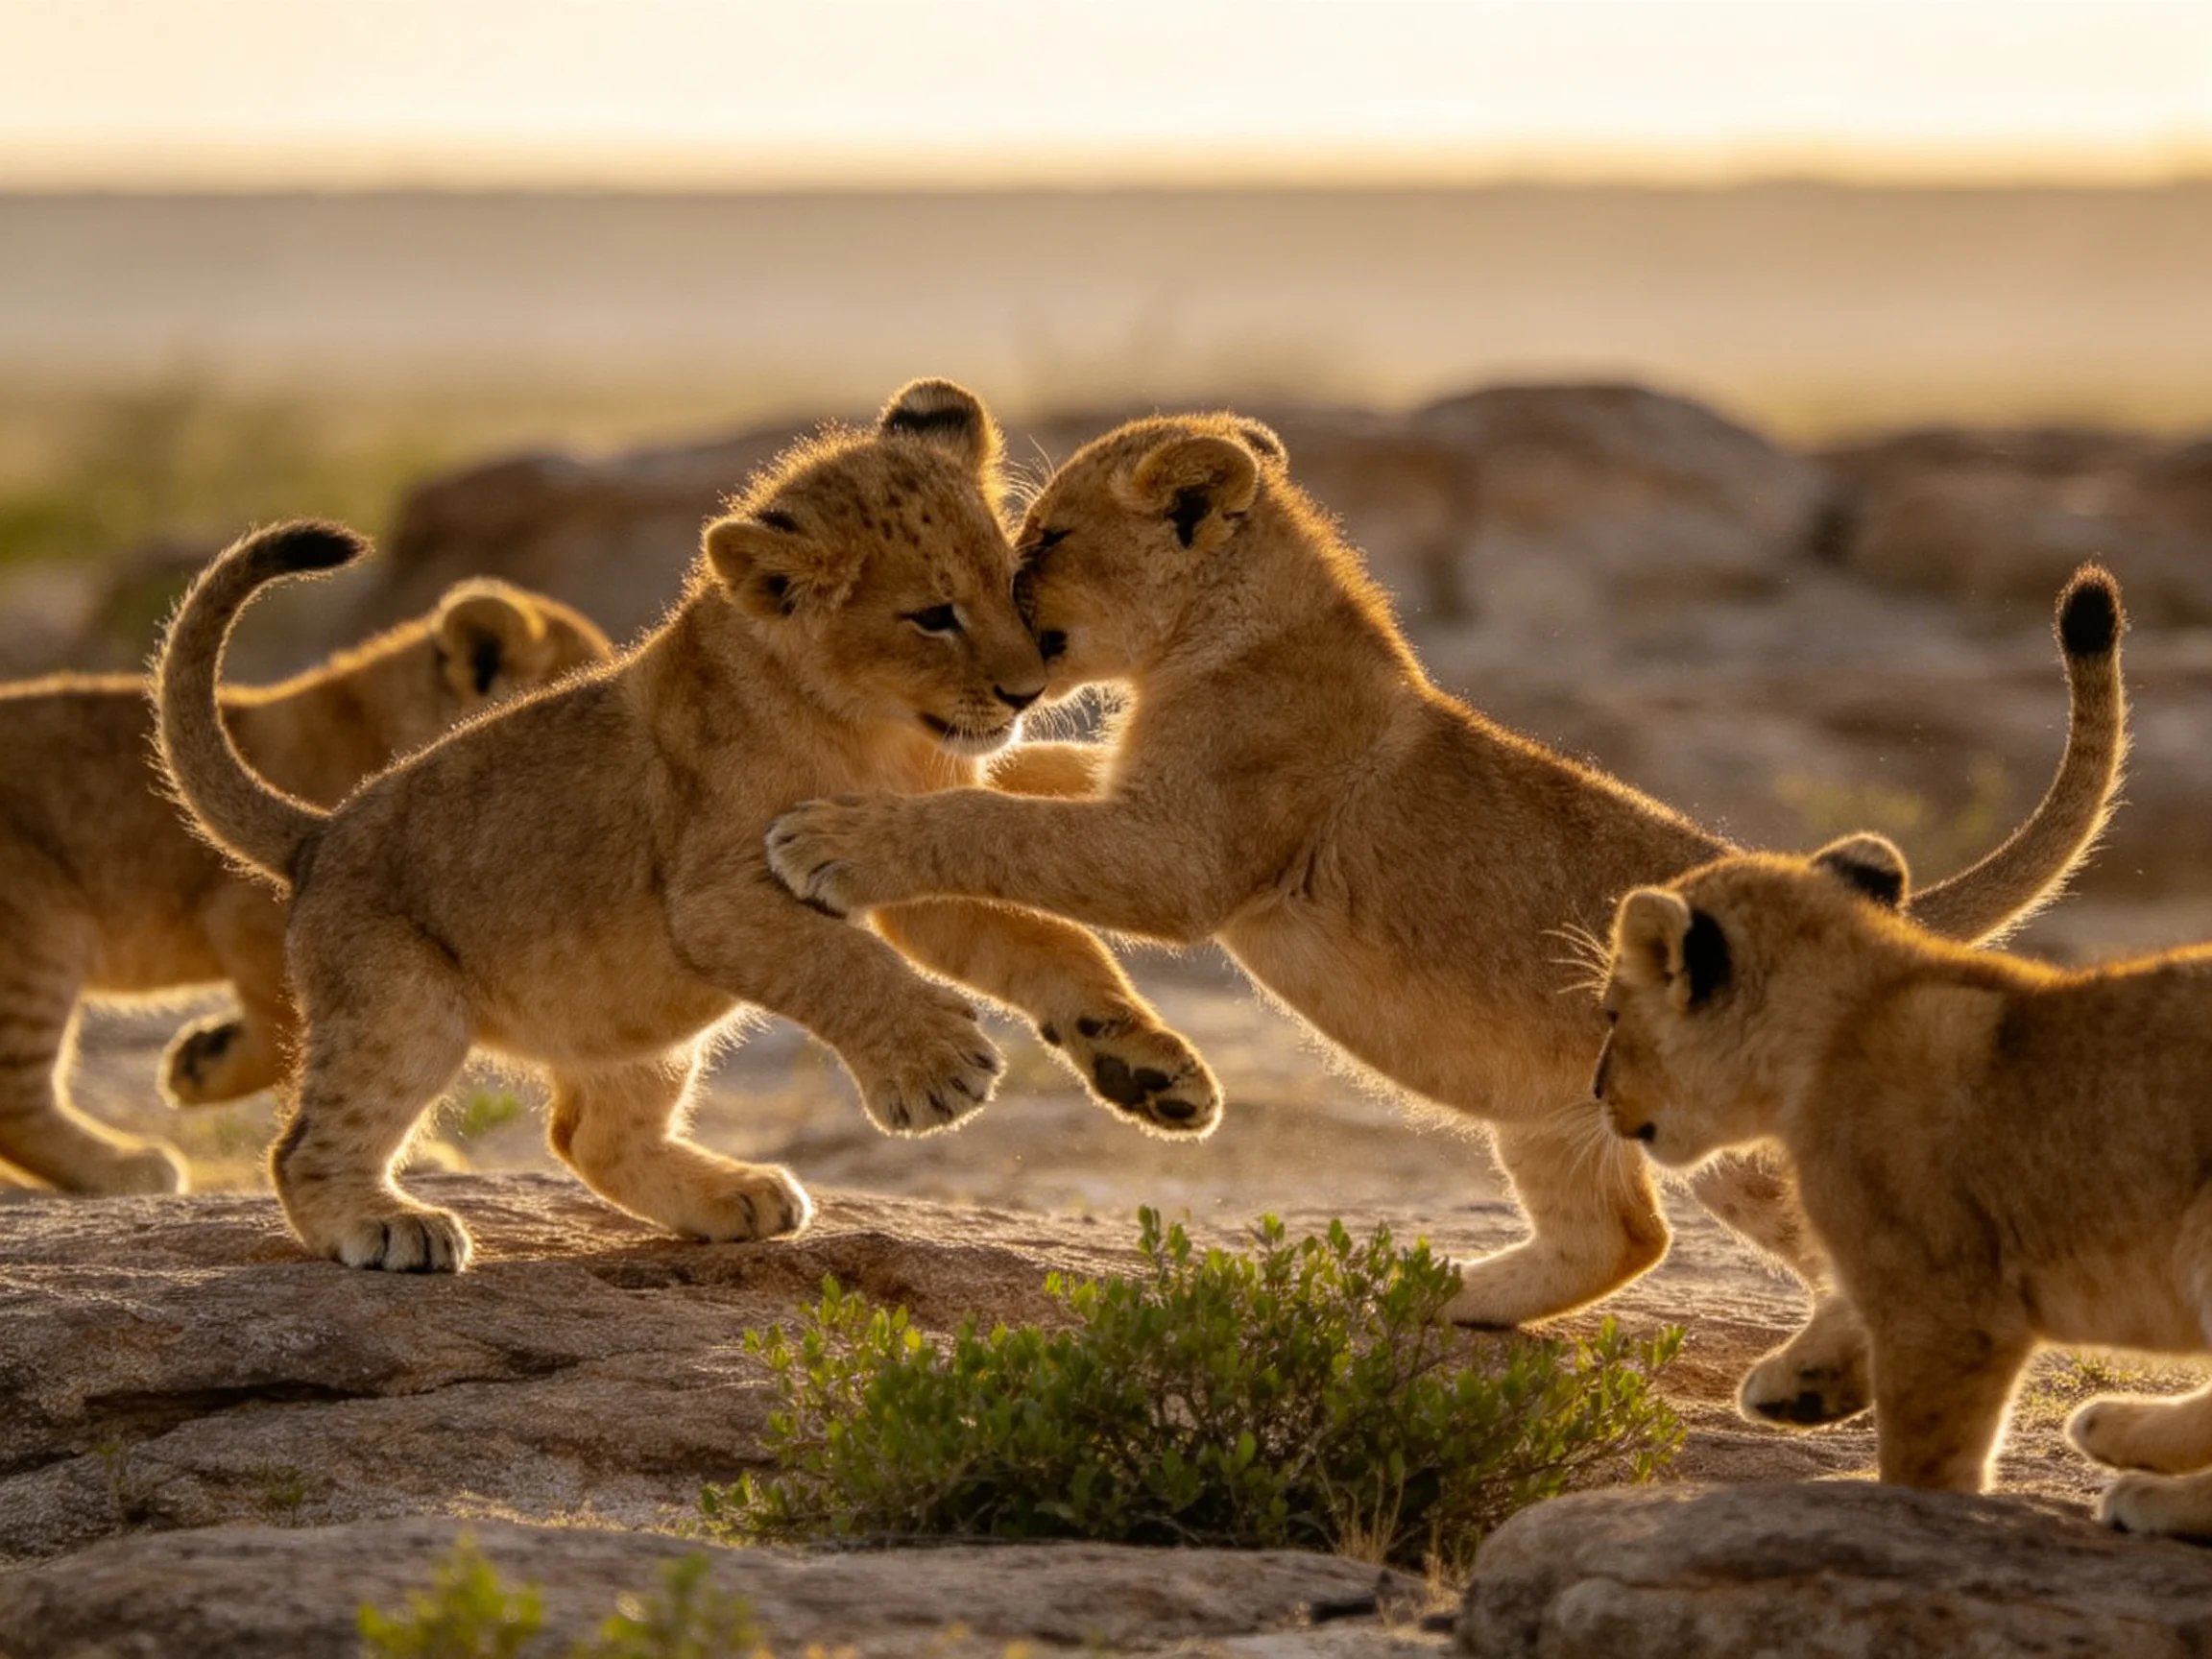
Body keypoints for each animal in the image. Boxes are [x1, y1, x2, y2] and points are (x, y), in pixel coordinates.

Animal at [0, 577, 611, 1196]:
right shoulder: (258, 918)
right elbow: (300, 1045)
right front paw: (202, 1069)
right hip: (39, 937)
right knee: (17, 1099)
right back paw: (124, 1166)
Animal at [154, 381, 1221, 1272]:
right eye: (931, 616)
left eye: (1011, 583)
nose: (1027, 690)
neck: (875, 731)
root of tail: (319, 834)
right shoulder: (714, 897)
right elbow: (842, 961)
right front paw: (939, 1070)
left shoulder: (898, 858)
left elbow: (1048, 945)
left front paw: (1150, 1070)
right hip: (402, 1002)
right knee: (307, 1144)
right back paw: (386, 1225)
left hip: (633, 1026)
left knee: (589, 1135)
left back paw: (732, 1198)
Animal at [762, 412, 2125, 1425]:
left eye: (1043, 537)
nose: (998, 607)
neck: (1226, 629)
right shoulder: (1141, 800)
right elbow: (1030, 784)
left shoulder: (1182, 856)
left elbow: (998, 827)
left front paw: (833, 840)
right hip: (1557, 1101)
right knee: (1622, 1235)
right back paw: (1432, 1298)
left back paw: (1804, 1383)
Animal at [1599, 831, 2212, 1537]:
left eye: (1609, 1013)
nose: (1595, 1092)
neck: (1848, 1014)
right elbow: (1845, 1301)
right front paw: (1799, 1386)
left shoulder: (1946, 1307)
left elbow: (1924, 1453)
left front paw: (1917, 1513)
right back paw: (2118, 1427)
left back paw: (2151, 1494)